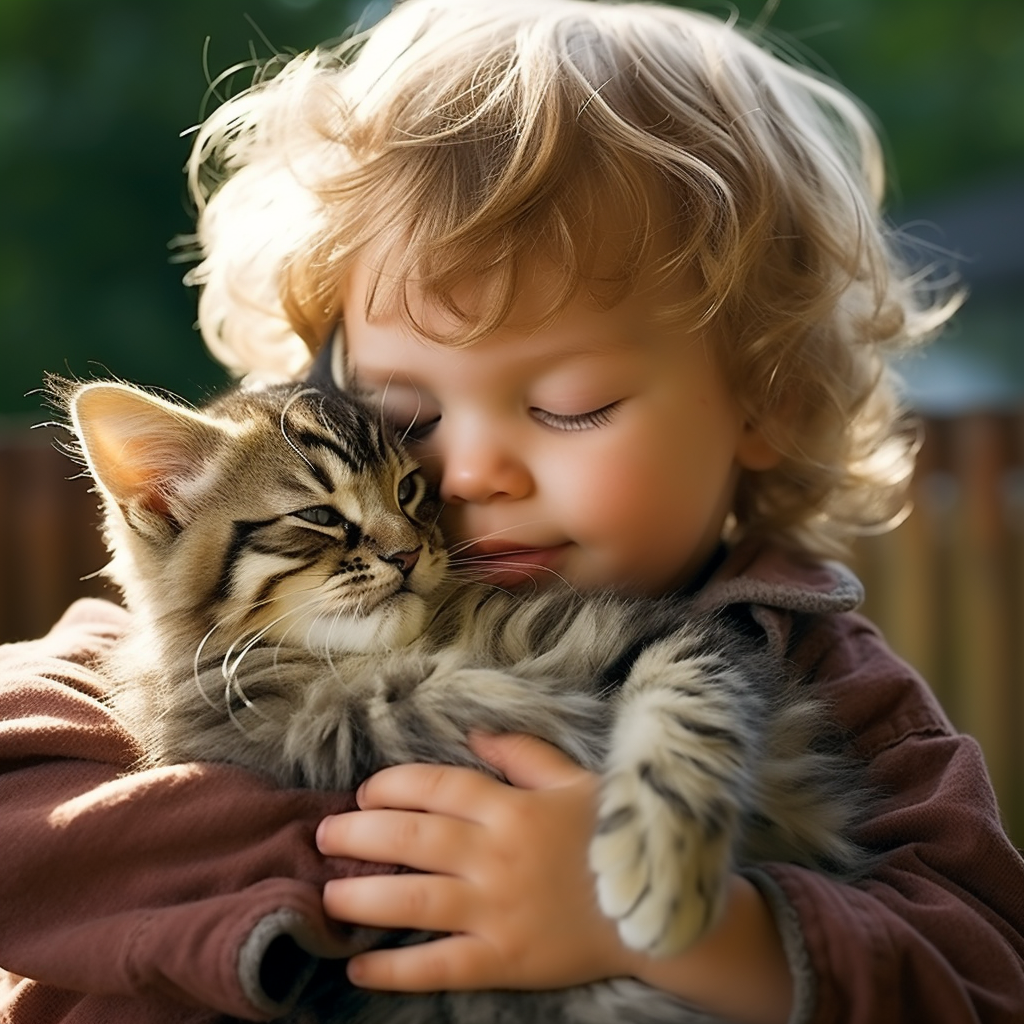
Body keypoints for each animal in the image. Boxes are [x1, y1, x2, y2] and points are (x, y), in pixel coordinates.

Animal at [61, 376, 864, 1024]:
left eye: (410, 491)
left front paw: (661, 864)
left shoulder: (671, 634)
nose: (407, 553)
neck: (400, 655)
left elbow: (686, 711)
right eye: (319, 516)